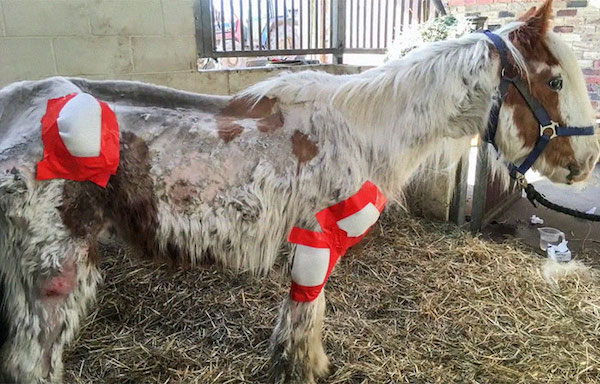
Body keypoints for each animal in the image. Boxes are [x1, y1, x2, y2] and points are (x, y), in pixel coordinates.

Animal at [0, 1, 596, 382]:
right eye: (555, 81)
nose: (585, 164)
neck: (361, 130)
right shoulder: (316, 239)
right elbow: (307, 314)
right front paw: (303, 370)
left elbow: (302, 314)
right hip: (54, 272)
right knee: (31, 363)